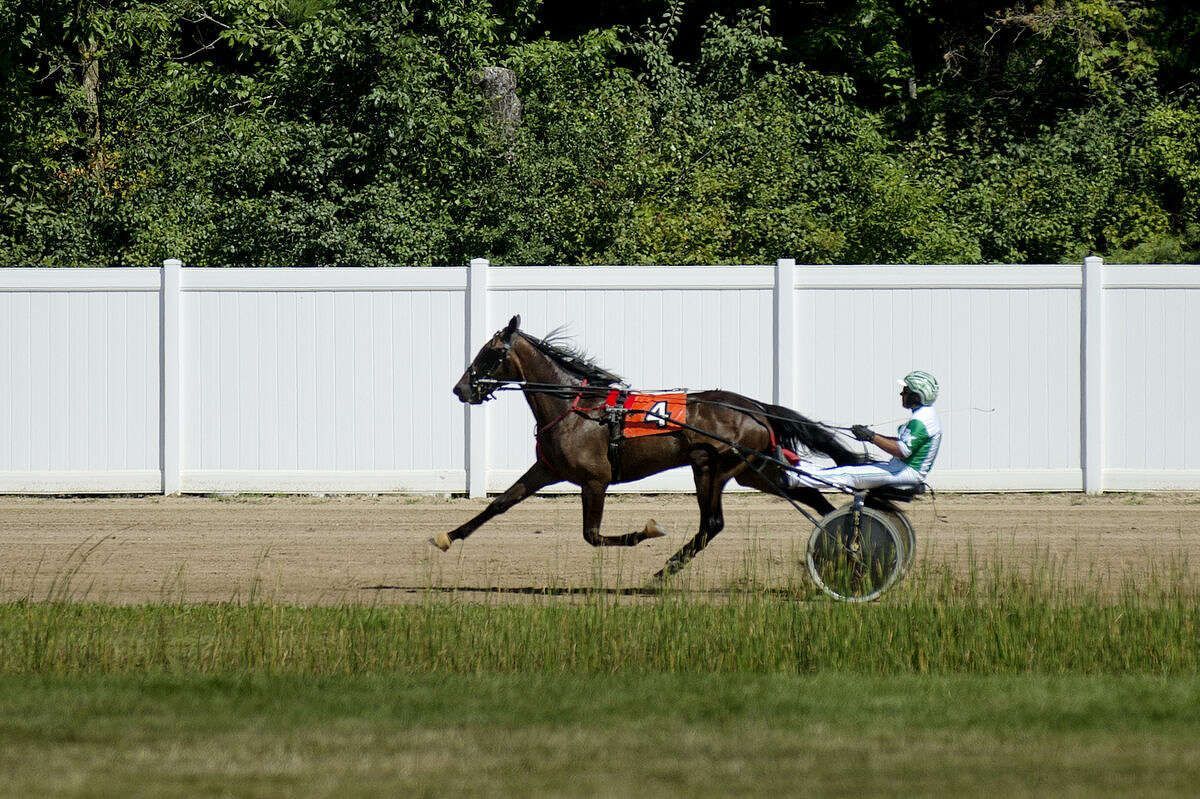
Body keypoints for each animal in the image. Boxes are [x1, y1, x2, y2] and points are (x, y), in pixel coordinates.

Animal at [433, 315, 867, 578]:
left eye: (491, 352)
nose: (460, 388)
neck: (576, 408)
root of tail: (757, 408)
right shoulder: (547, 470)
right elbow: (499, 504)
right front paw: (448, 536)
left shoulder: (595, 480)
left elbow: (592, 535)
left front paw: (646, 531)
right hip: (757, 471)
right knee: (815, 499)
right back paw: (844, 547)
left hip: (714, 468)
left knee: (712, 523)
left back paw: (665, 571)